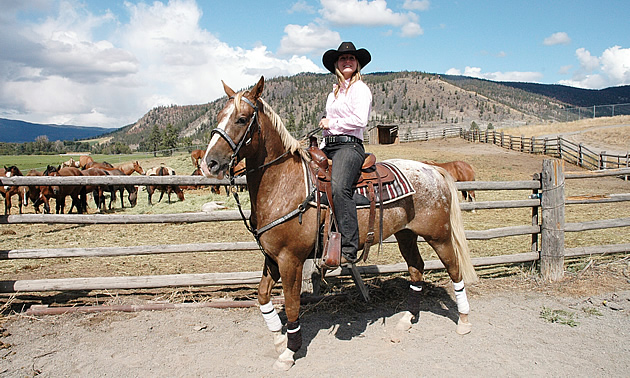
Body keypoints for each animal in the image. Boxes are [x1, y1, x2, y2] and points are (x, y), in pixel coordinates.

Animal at [202, 76, 478, 370]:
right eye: (218, 117)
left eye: (242, 119)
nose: (210, 163)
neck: (286, 184)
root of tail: (433, 169)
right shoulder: (272, 257)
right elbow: (263, 296)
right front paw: (278, 339)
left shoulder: (290, 259)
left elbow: (292, 304)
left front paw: (289, 351)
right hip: (406, 234)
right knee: (416, 268)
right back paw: (406, 320)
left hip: (439, 235)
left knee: (454, 269)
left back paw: (463, 321)